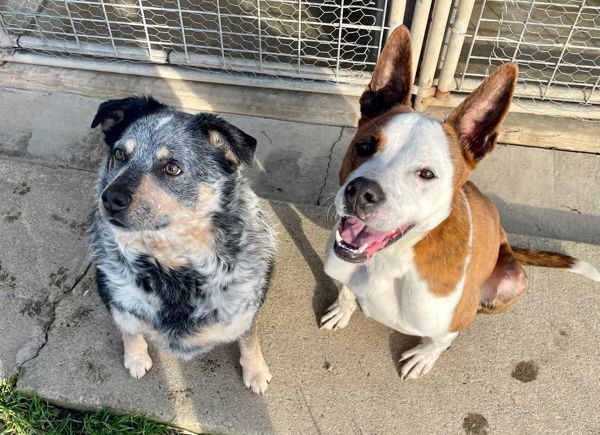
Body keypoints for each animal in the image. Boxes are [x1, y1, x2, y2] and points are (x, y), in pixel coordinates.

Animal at [322, 26, 596, 382]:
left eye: (426, 174)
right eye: (365, 145)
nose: (360, 192)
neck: (389, 262)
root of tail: (506, 241)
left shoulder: (455, 319)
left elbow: (440, 340)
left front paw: (424, 355)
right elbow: (345, 291)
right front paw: (342, 309)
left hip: (513, 282)